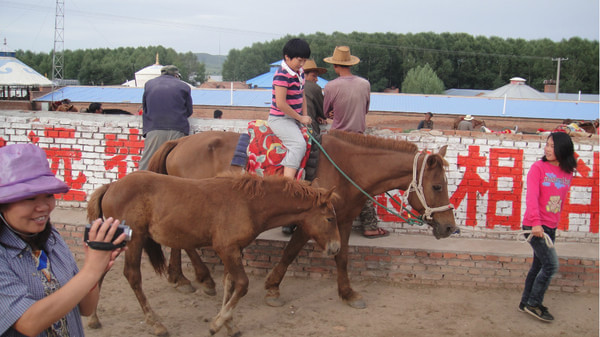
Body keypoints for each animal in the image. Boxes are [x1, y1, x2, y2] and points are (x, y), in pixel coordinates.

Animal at [86, 172, 340, 334]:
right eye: (329, 218)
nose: (336, 247)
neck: (248, 204)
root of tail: (110, 187)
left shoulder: (234, 249)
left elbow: (230, 283)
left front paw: (229, 324)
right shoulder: (226, 248)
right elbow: (242, 284)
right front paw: (217, 324)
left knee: (99, 271)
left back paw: (93, 318)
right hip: (135, 239)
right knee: (133, 276)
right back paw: (156, 324)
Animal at [146, 129, 454, 310]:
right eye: (438, 186)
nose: (450, 226)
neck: (347, 166)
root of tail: (180, 141)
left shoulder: (341, 221)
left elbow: (342, 256)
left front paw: (348, 293)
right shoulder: (311, 221)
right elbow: (291, 252)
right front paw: (272, 288)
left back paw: (181, 277)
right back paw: (203, 278)